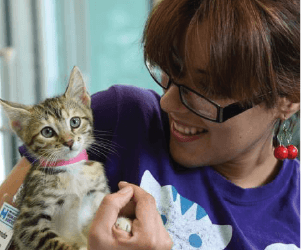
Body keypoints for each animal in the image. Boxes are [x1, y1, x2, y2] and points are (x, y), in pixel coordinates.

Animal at [0, 66, 131, 250]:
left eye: (75, 122)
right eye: (47, 132)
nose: (69, 141)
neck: (71, 167)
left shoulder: (96, 194)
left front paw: (121, 220)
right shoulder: (27, 224)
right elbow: (51, 241)